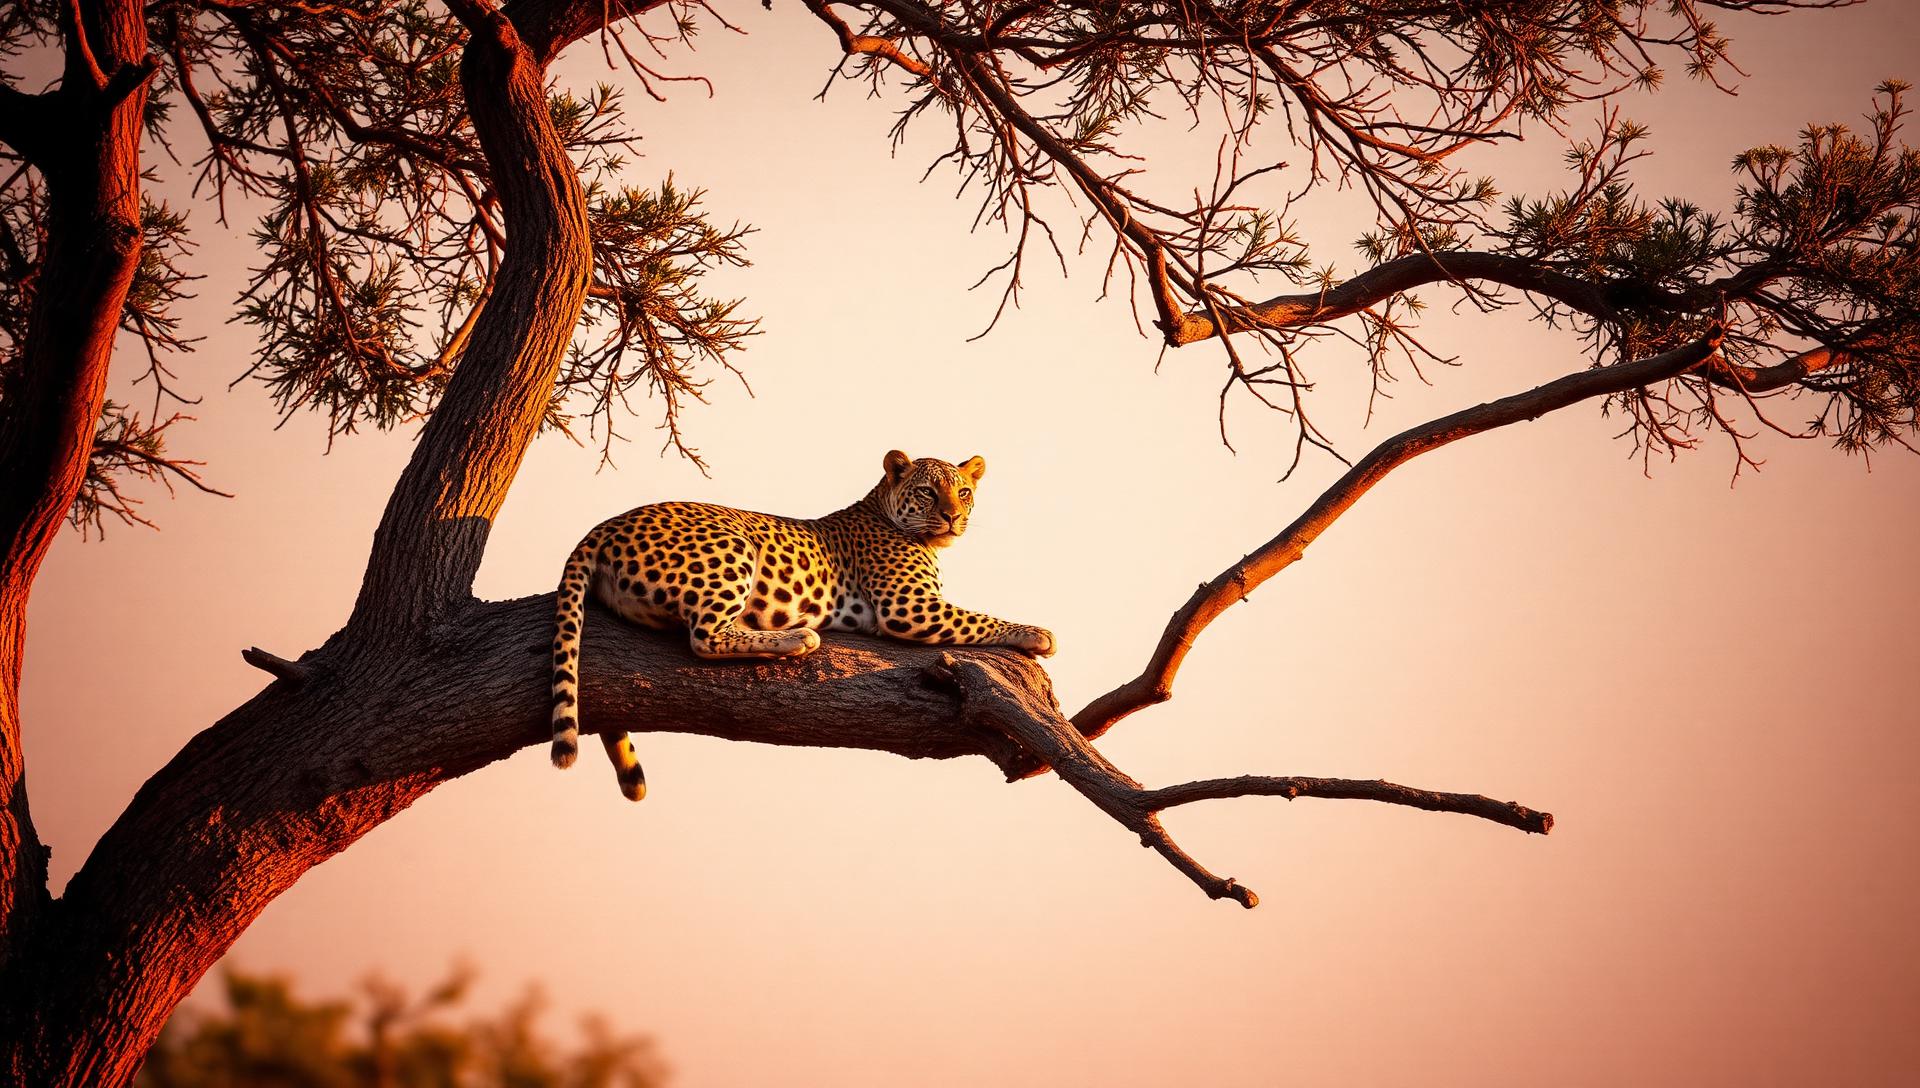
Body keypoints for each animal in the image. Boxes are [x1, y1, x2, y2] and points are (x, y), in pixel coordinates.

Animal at [550, 450, 1056, 801]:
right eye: (929, 492)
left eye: (963, 492)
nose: (953, 516)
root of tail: (603, 526)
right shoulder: (909, 606)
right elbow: (980, 617)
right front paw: (1037, 633)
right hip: (733, 547)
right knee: (705, 637)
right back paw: (796, 637)